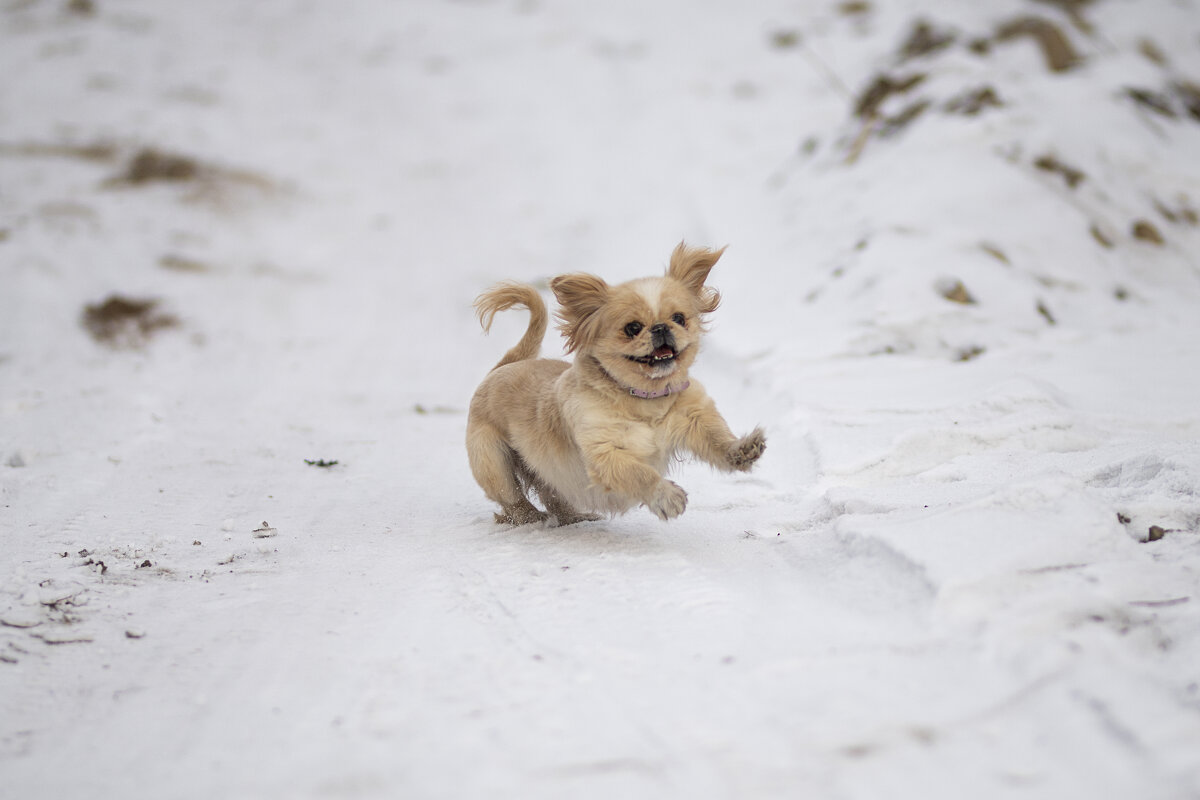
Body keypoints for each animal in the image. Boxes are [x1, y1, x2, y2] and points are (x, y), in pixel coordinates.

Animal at [463, 241, 763, 525]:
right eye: (632, 327)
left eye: (679, 318)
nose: (661, 327)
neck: (646, 398)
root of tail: (502, 368)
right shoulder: (605, 453)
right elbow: (639, 473)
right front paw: (665, 496)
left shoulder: (694, 417)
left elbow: (717, 440)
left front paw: (742, 451)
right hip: (494, 465)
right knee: (513, 500)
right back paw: (530, 518)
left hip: (546, 475)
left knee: (553, 496)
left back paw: (574, 517)